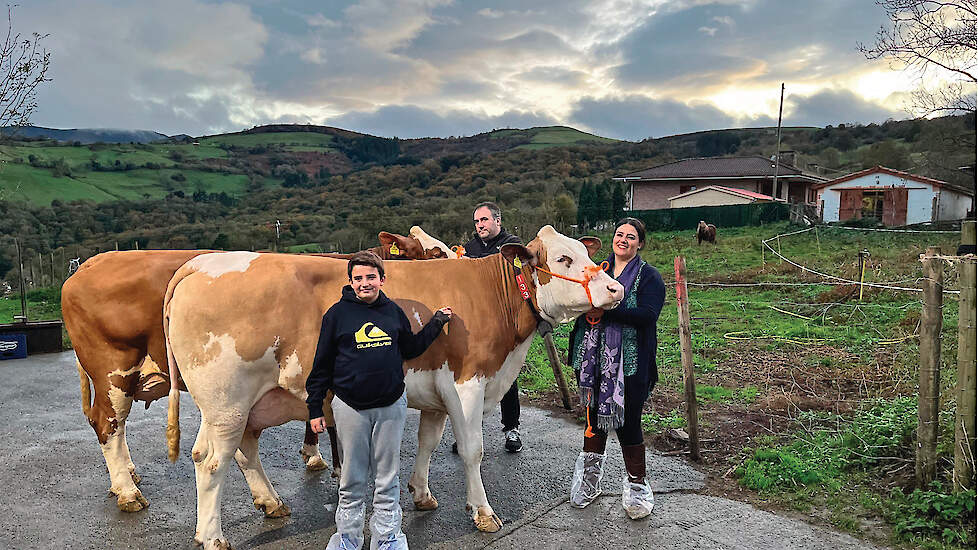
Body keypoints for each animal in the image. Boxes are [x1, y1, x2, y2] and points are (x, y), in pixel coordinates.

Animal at [63, 232, 452, 512]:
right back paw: (128, 492)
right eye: (435, 255)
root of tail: (87, 266)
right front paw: (330, 463)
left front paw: (317, 456)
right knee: (108, 425)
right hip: (115, 370)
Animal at [159, 225, 616, 550]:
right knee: (212, 462)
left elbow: (429, 442)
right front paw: (483, 512)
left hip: (240, 406)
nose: (615, 287)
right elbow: (473, 451)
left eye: (588, 253)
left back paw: (271, 503)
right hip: (228, 402)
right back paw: (213, 537)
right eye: (564, 258)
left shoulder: (437, 393)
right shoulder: (467, 385)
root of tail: (200, 264)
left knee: (234, 451)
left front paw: (421, 494)